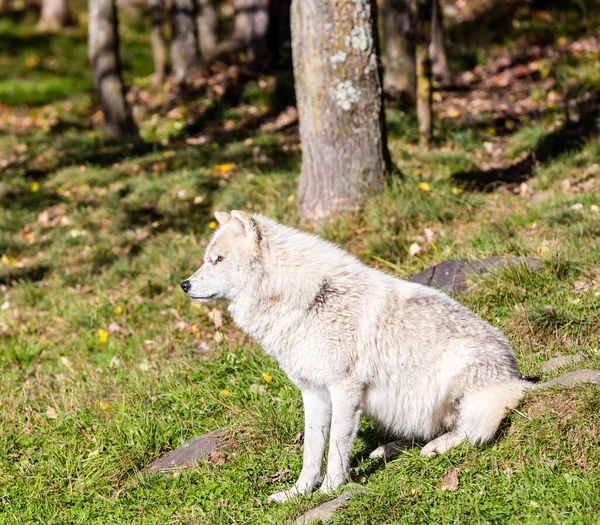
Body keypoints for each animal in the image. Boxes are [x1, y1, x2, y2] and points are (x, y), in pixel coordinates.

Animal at [179, 211, 528, 502]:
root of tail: (514, 377)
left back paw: (432, 448)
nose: (184, 284)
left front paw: (330, 490)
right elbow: (311, 451)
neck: (302, 300)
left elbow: (336, 447)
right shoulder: (313, 393)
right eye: (207, 259)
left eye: (218, 259)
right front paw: (298, 493)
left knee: (468, 427)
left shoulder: (344, 389)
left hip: (456, 377)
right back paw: (386, 449)